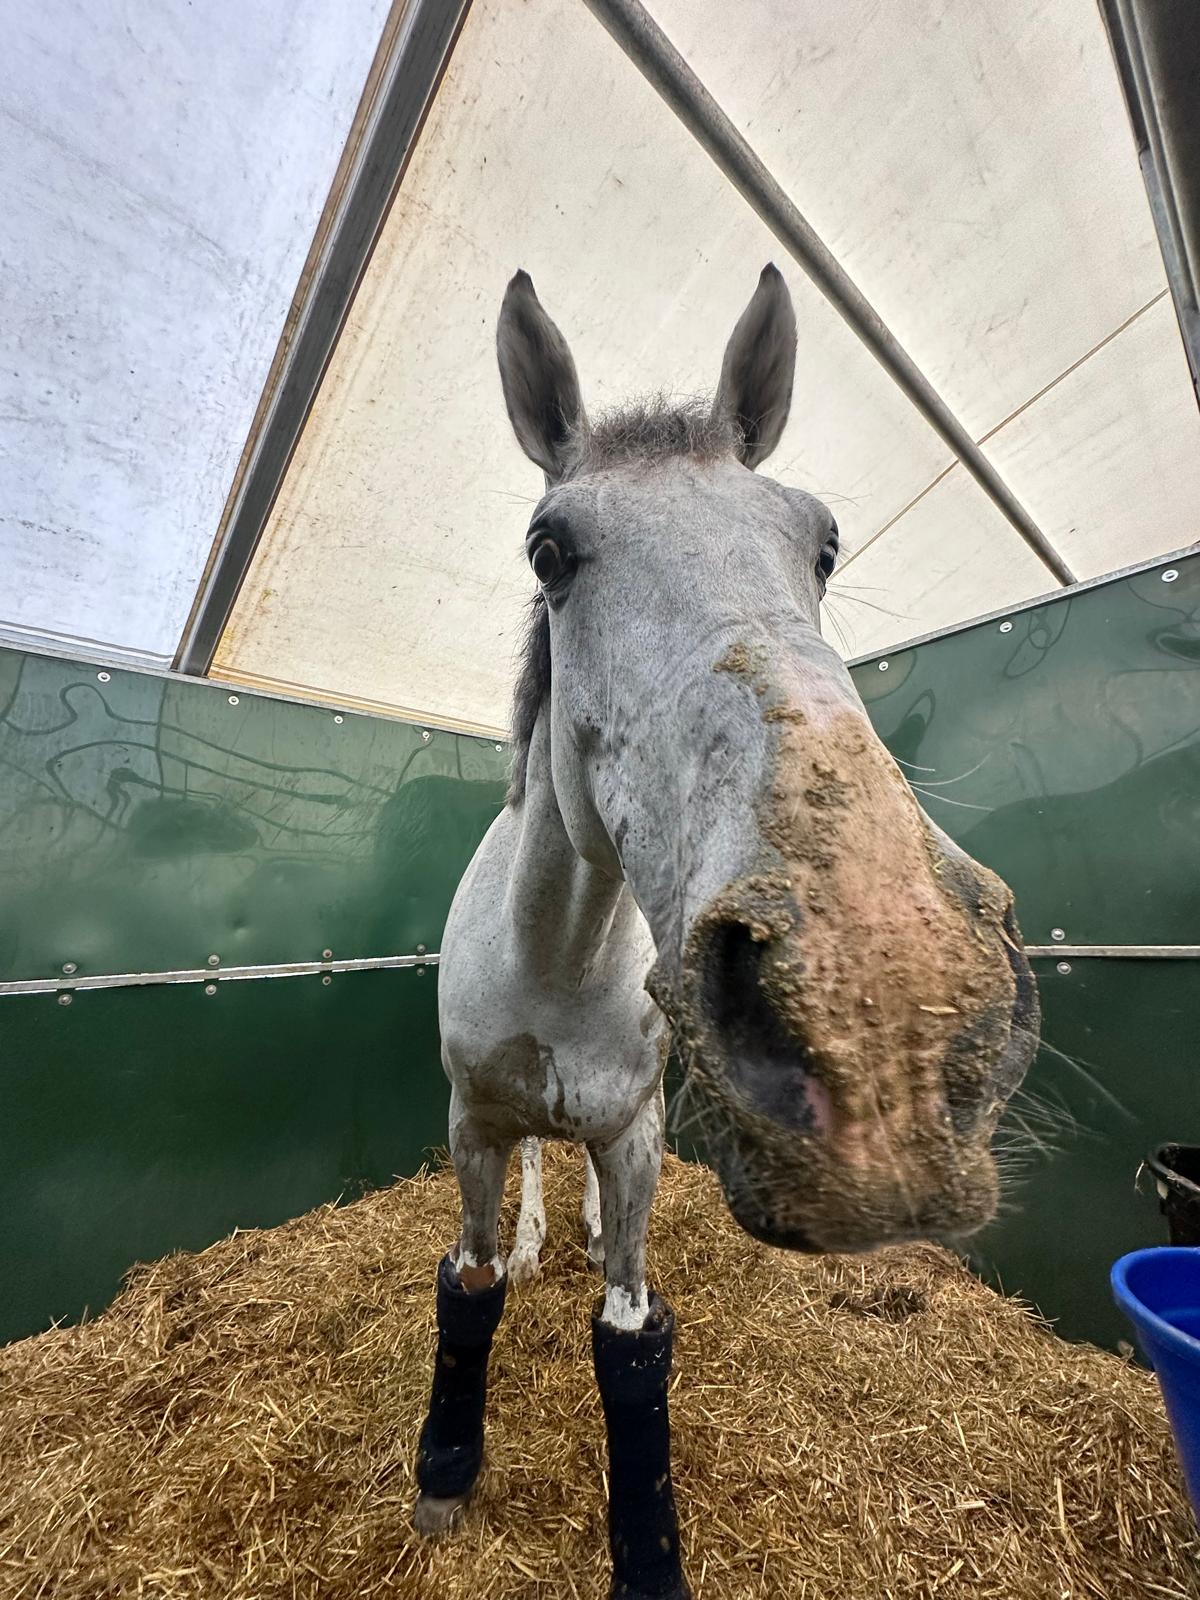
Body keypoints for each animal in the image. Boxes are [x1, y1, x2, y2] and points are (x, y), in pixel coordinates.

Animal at [412, 264, 1039, 1600]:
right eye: (549, 550)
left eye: (824, 544)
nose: (889, 1008)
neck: (557, 957)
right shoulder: (472, 1128)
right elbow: (468, 1287)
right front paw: (445, 1474)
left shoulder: (640, 1138)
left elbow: (628, 1339)